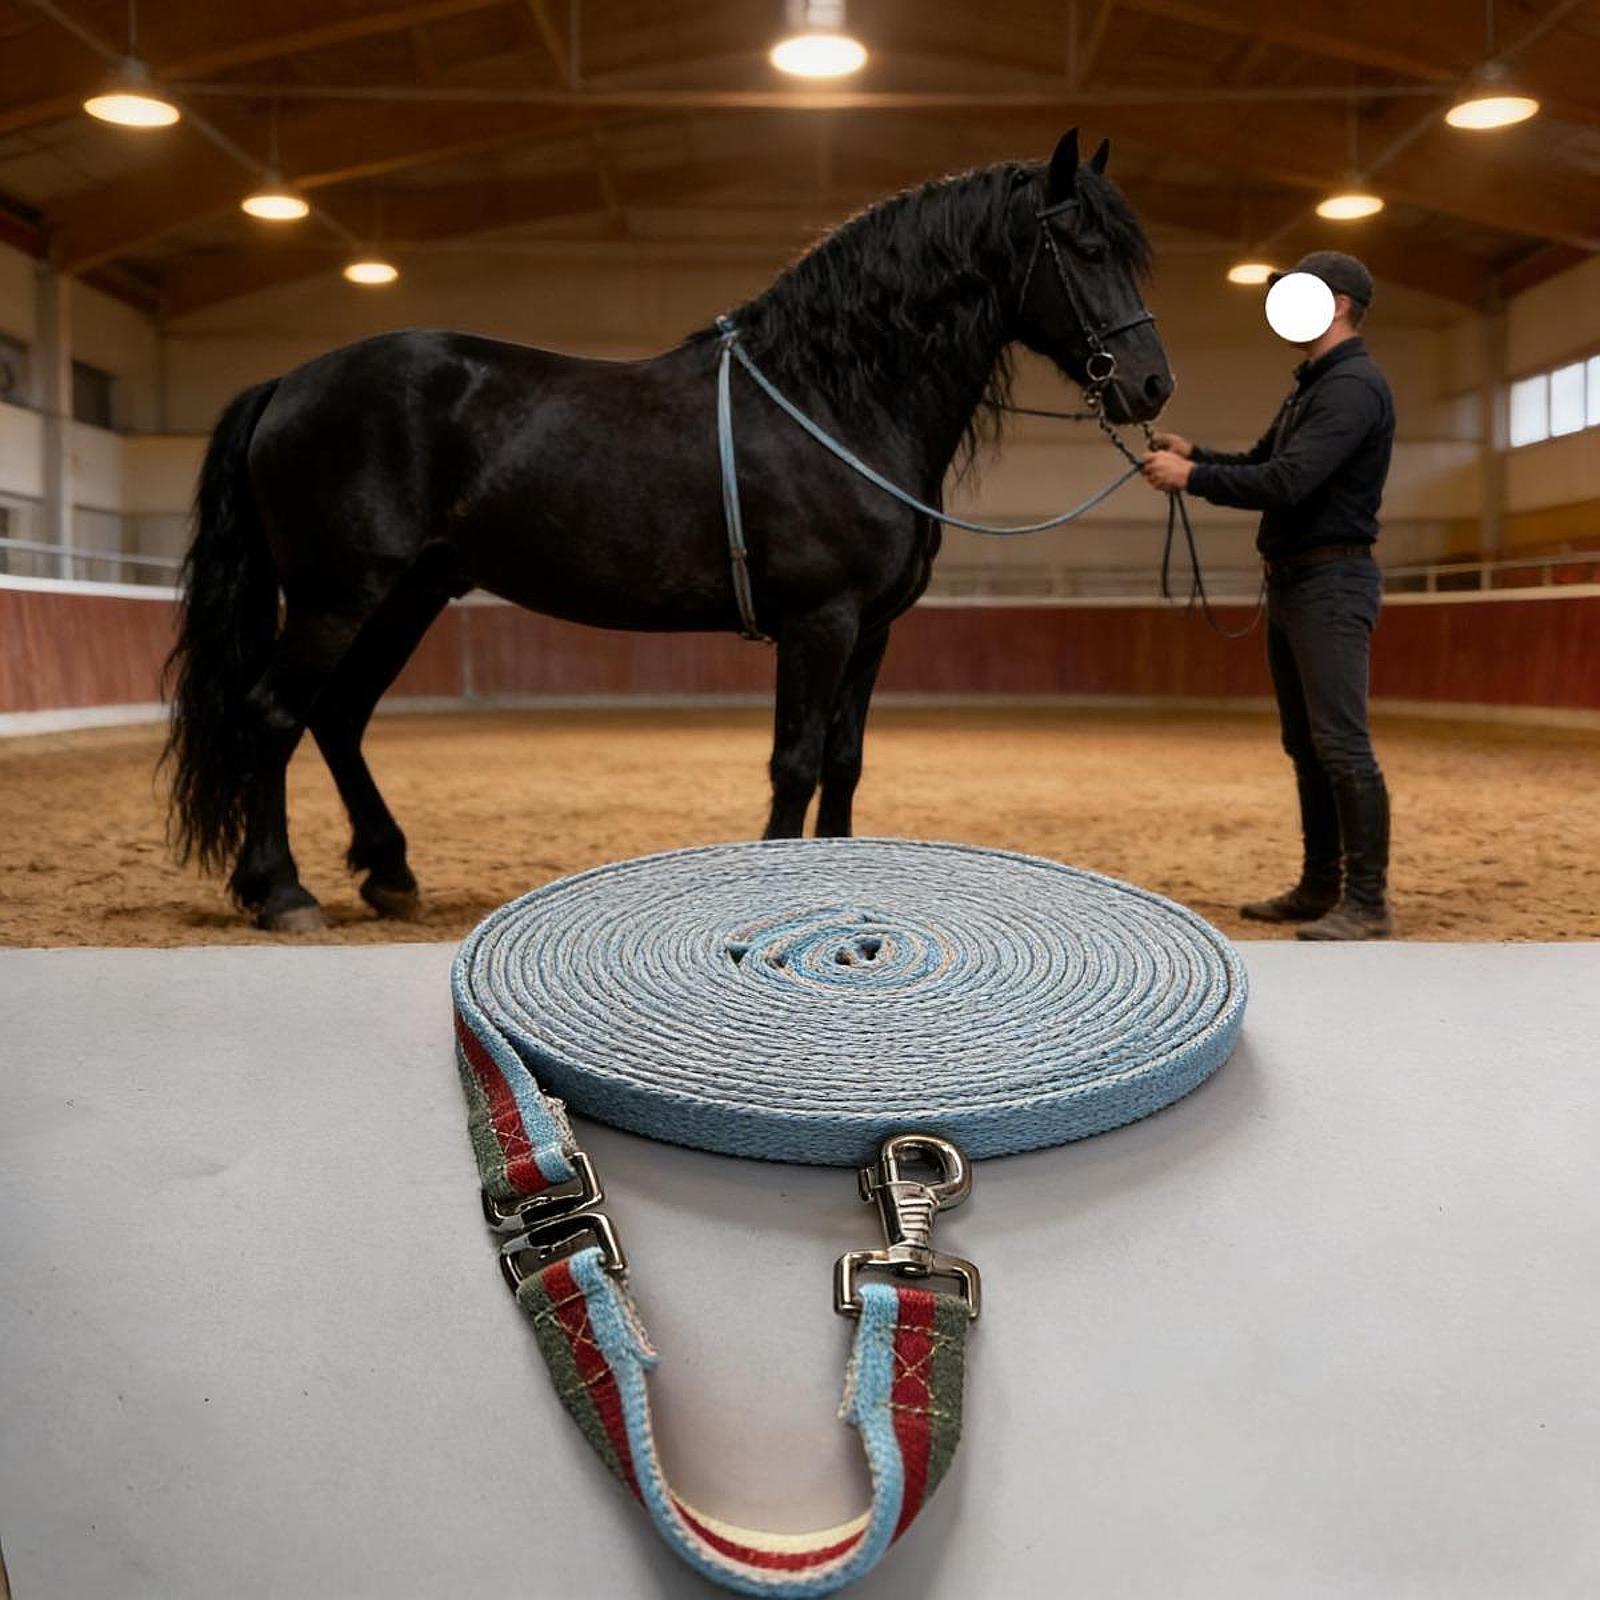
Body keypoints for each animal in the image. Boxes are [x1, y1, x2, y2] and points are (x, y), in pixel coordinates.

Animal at [164, 128, 1172, 932]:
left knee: (337, 716)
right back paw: (283, 892)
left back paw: (390, 874)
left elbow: (844, 764)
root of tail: (289, 383)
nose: (1152, 385)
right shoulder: (820, 623)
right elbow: (796, 764)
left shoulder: (874, 631)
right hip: (339, 595)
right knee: (273, 714)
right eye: (1085, 246)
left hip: (409, 593)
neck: (837, 398)